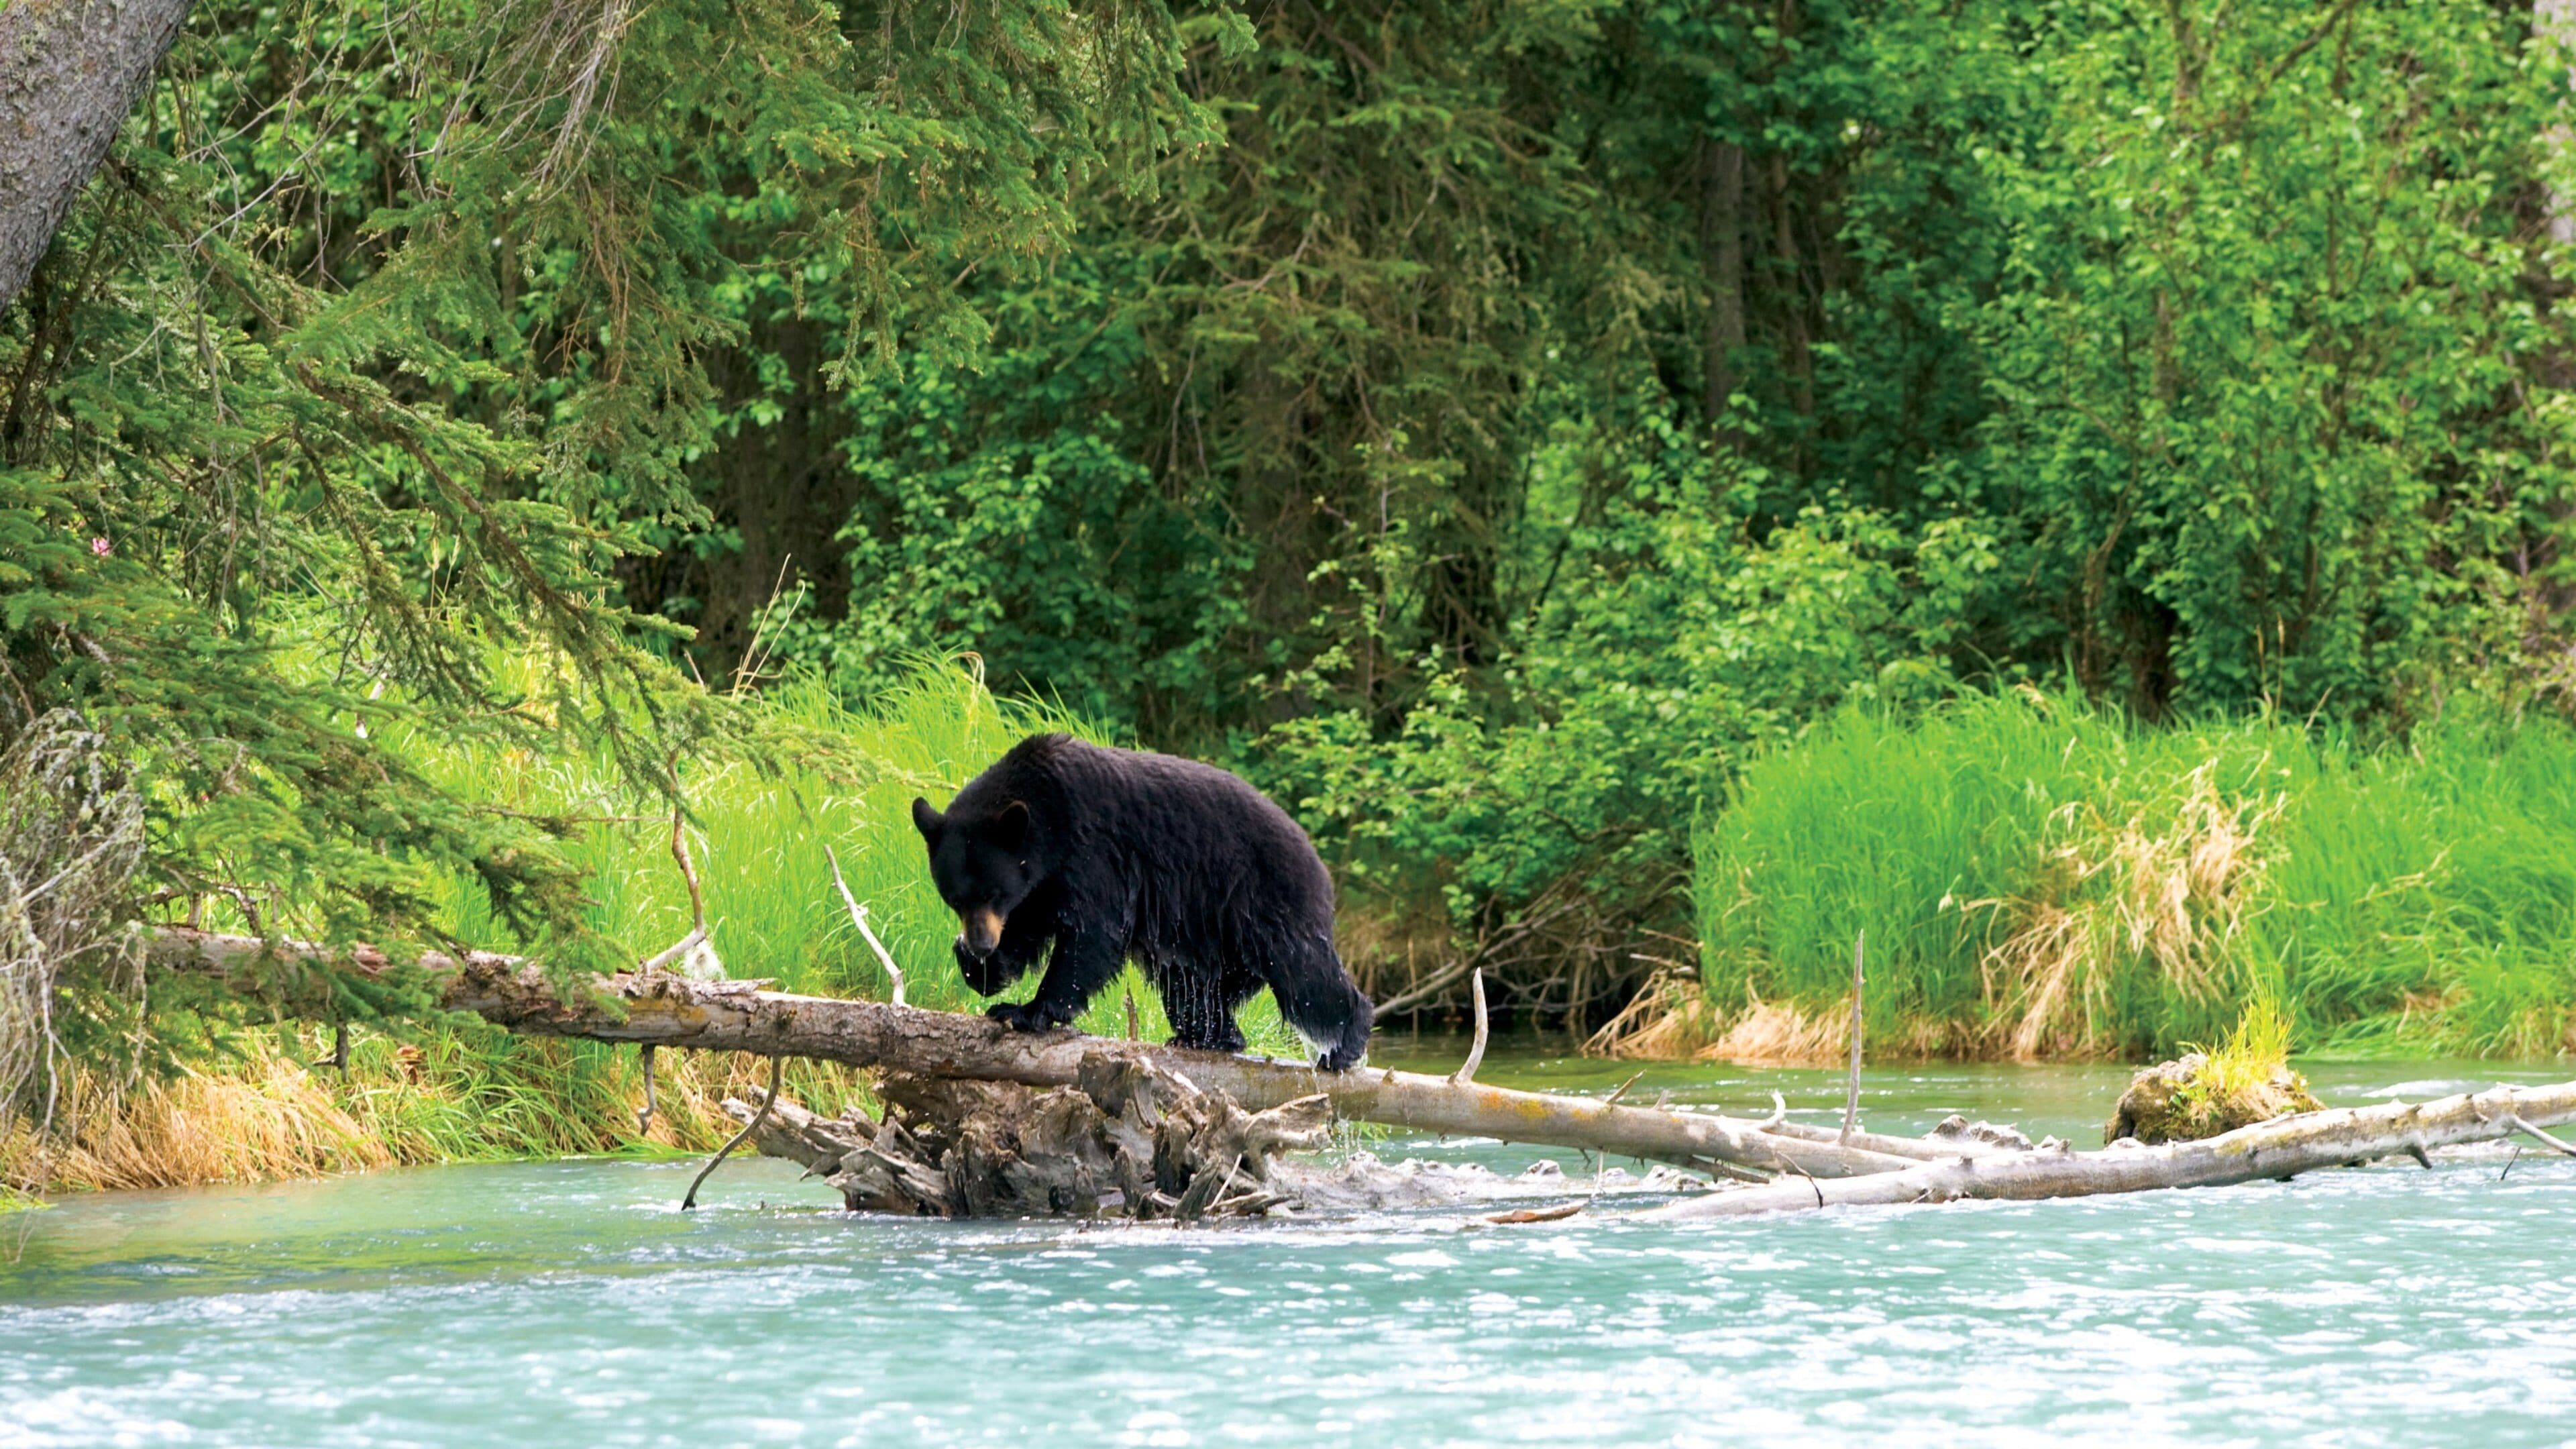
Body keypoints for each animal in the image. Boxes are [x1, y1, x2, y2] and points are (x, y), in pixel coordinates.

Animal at [910, 733, 1374, 1072]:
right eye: (954, 898)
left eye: (993, 892)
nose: (981, 943)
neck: (1049, 817)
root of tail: (1315, 857)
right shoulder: (1043, 881)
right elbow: (1031, 924)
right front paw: (983, 969)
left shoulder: (1094, 849)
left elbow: (1092, 932)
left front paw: (1027, 1010)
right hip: (1203, 935)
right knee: (1189, 987)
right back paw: (1206, 1036)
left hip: (1264, 897)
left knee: (1303, 972)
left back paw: (1346, 1043)